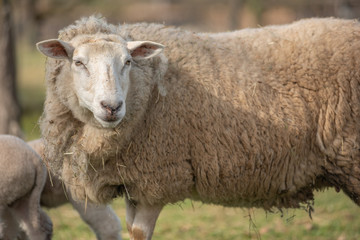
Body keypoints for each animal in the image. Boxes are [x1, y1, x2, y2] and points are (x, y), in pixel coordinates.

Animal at [35, 15, 360, 239]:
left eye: (127, 62)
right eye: (78, 63)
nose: (112, 107)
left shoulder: (160, 176)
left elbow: (139, 233)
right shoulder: (134, 182)